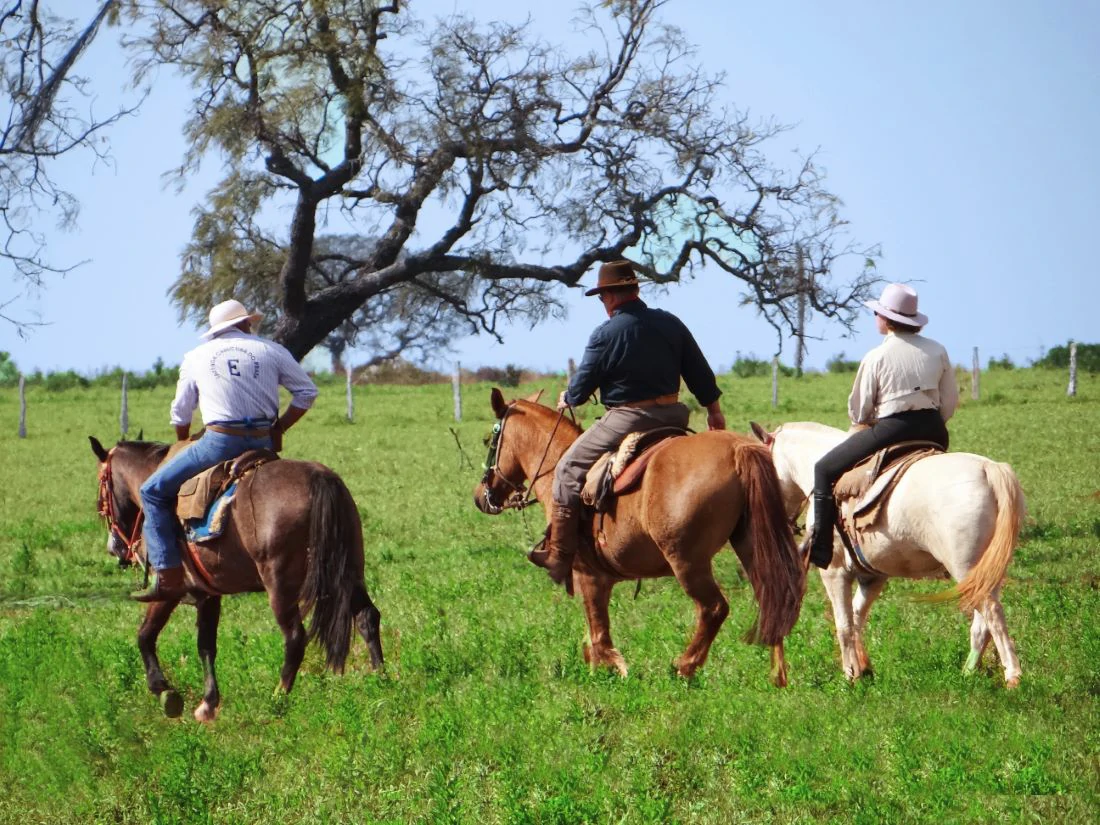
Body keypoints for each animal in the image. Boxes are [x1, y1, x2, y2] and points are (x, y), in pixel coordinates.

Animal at [90, 435, 385, 721]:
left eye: (101, 493)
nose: (114, 549)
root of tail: (319, 477)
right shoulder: (209, 592)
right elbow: (206, 644)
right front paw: (208, 703)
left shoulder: (169, 588)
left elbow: (145, 635)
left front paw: (164, 691)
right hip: (348, 572)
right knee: (367, 617)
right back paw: (381, 679)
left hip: (281, 586)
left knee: (295, 637)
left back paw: (278, 698)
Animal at [468, 391, 805, 686]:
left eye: (489, 440)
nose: (480, 496)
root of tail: (737, 450)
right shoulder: (600, 578)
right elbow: (593, 629)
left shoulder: (588, 575)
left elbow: (598, 626)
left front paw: (609, 669)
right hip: (753, 545)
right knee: (774, 596)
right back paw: (777, 674)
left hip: (687, 561)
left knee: (714, 608)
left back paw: (685, 666)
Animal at [752, 422, 1025, 686]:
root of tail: (989, 469)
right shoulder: (873, 576)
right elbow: (856, 617)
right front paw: (863, 668)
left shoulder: (834, 572)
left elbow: (844, 623)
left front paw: (851, 676)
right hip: (987, 572)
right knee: (983, 622)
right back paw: (969, 672)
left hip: (966, 568)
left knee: (992, 613)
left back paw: (1012, 676)